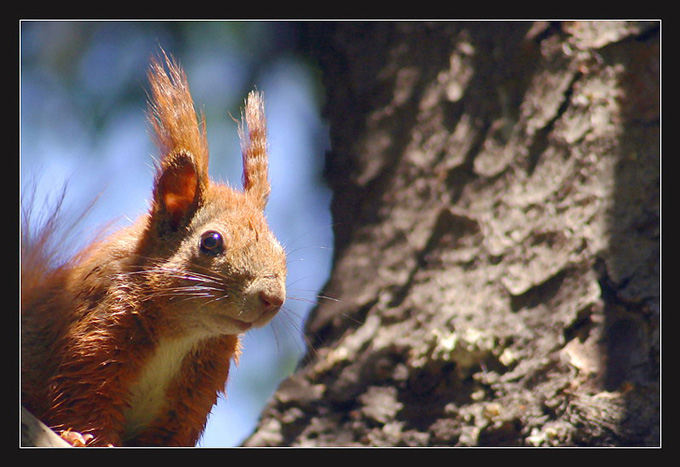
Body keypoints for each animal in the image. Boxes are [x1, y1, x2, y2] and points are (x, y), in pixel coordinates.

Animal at [20, 53, 286, 448]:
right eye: (211, 242)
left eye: (281, 251)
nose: (272, 298)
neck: (183, 334)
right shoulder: (93, 336)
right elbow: (82, 399)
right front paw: (78, 436)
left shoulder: (193, 392)